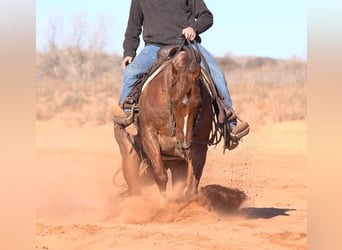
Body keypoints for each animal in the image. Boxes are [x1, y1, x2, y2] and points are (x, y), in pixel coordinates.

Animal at [115, 43, 216, 201]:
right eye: (173, 102)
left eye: (199, 104)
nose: (184, 143)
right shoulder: (149, 135)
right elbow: (161, 176)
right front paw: (164, 203)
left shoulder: (199, 143)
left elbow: (192, 185)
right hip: (130, 160)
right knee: (134, 185)